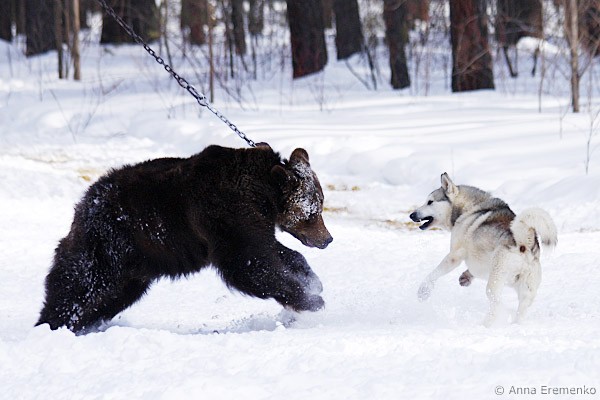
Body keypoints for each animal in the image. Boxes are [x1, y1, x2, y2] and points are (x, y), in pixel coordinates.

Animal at [36, 144, 333, 333]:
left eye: (320, 204)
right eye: (313, 212)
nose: (327, 239)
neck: (263, 194)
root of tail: (86, 201)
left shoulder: (253, 224)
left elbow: (275, 252)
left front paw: (312, 282)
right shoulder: (226, 217)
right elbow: (249, 264)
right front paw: (310, 300)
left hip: (134, 267)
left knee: (110, 296)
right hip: (107, 244)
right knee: (78, 284)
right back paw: (51, 324)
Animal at [409, 173, 557, 326]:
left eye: (430, 202)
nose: (411, 215)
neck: (469, 209)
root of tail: (524, 244)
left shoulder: (454, 255)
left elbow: (434, 274)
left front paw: (423, 291)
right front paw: (465, 277)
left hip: (495, 281)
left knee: (496, 304)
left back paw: (486, 324)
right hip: (525, 290)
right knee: (520, 309)